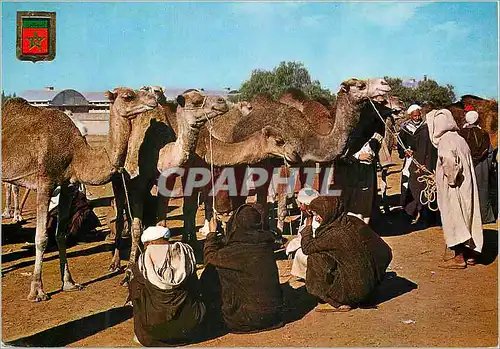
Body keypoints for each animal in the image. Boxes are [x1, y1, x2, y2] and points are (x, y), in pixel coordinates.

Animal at [1, 88, 158, 300]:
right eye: (128, 96)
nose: (154, 99)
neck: (76, 153)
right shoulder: (45, 184)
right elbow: (41, 238)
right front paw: (37, 291)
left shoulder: (68, 185)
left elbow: (61, 234)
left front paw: (69, 283)